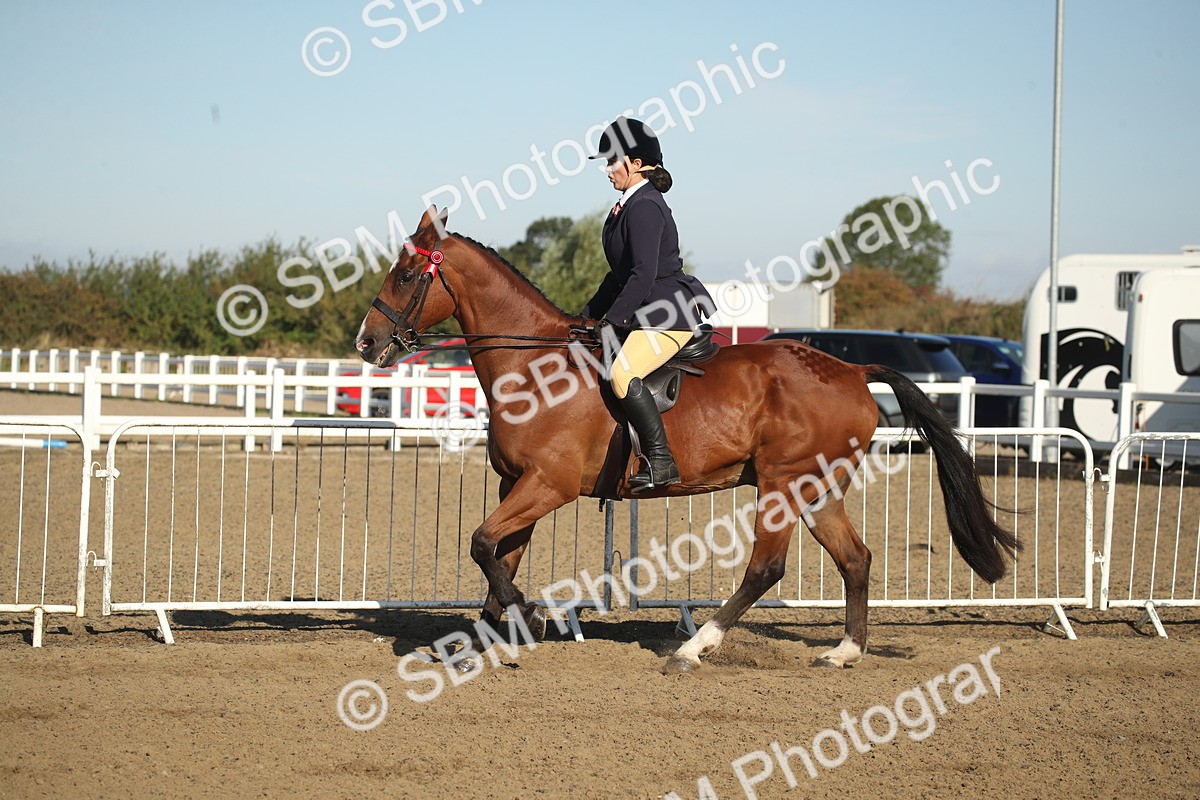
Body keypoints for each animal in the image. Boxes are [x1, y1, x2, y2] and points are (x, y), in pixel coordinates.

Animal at [355, 206, 1020, 673]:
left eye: (407, 274)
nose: (366, 343)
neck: (533, 367)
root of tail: (853, 370)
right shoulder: (515, 483)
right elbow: (497, 553)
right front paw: (495, 638)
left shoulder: (548, 484)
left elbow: (481, 544)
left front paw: (530, 621)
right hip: (817, 486)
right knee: (854, 558)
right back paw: (844, 652)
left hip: (781, 485)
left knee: (766, 569)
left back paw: (695, 647)